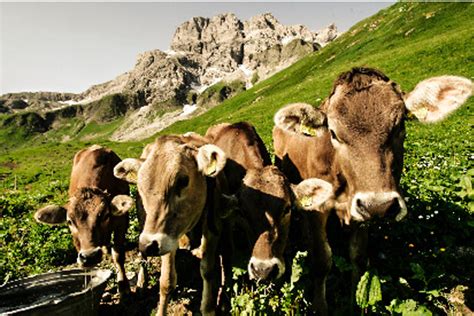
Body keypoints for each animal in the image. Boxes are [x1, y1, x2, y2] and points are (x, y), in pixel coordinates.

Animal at [34, 145, 134, 296]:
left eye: (105, 215)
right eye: (70, 221)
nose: (90, 256)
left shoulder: (122, 222)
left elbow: (118, 255)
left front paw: (123, 285)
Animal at [272, 67, 472, 314]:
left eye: (400, 126)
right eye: (333, 133)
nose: (380, 205)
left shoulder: (361, 210)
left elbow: (358, 257)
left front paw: (355, 304)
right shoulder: (318, 210)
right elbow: (321, 260)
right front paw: (320, 307)